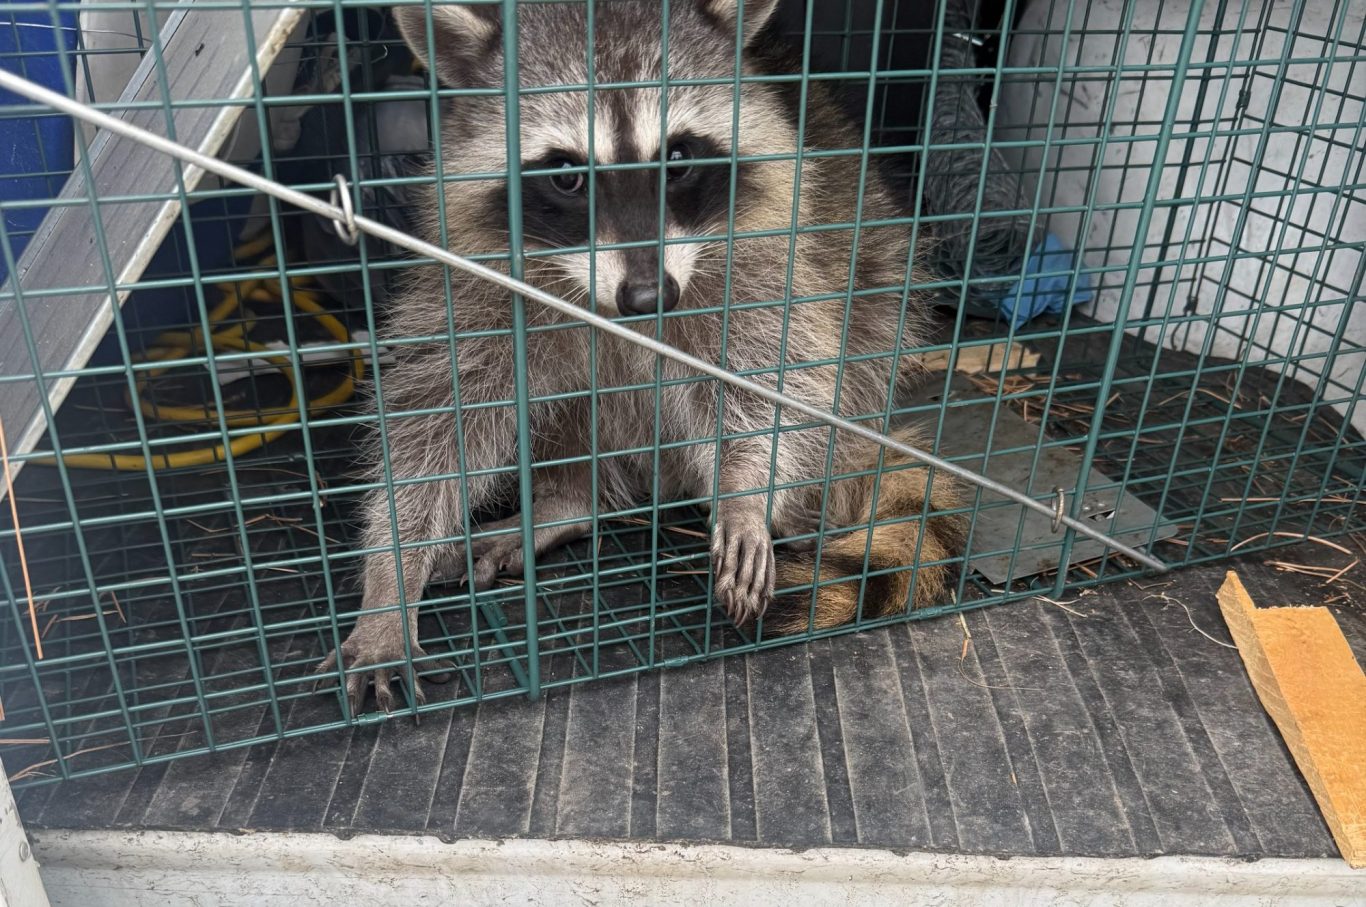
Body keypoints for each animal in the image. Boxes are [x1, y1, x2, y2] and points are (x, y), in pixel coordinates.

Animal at [316, 0, 966, 714]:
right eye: (567, 174)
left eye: (677, 158)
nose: (650, 296)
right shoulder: (475, 280)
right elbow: (435, 423)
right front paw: (390, 580)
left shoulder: (763, 256)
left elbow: (772, 370)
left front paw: (744, 488)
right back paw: (571, 499)